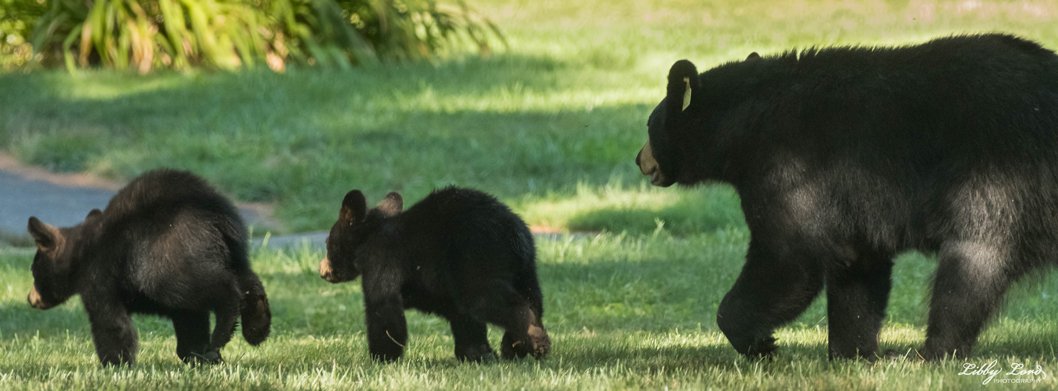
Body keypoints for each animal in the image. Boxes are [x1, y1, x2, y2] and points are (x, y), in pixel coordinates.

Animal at [28, 169, 270, 365]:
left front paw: (115, 365)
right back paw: (257, 327)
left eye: (34, 271)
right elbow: (190, 320)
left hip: (166, 255)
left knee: (212, 286)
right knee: (246, 279)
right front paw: (200, 356)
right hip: (229, 250)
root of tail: (215, 212)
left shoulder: (99, 278)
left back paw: (223, 330)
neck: (81, 251)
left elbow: (110, 323)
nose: (30, 299)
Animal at [317, 188, 550, 361]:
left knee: (486, 298)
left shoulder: (381, 259)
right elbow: (460, 314)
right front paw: (477, 353)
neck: (370, 235)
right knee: (533, 298)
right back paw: (517, 346)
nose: (322, 271)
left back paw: (532, 336)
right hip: (526, 268)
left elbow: (384, 307)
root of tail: (514, 233)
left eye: (328, 244)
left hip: (477, 258)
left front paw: (382, 356)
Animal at [634, 34, 1058, 361]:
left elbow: (789, 257)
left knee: (969, 269)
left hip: (995, 181)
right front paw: (851, 353)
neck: (746, 125)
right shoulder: (848, 205)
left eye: (650, 125)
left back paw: (931, 353)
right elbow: (856, 269)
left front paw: (761, 343)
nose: (640, 160)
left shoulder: (789, 167)